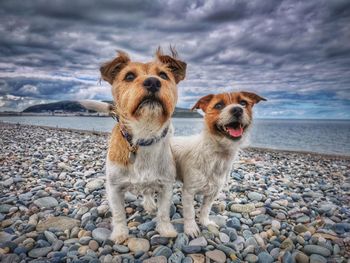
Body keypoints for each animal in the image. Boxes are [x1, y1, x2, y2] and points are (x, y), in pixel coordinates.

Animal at [98, 48, 186, 244]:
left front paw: (165, 230)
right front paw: (120, 234)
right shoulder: (114, 188)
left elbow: (163, 212)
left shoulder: (166, 185)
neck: (144, 135)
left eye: (163, 75)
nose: (153, 82)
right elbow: (118, 214)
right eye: (129, 76)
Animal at [170, 92, 266, 238]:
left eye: (243, 103)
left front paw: (205, 222)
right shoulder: (188, 192)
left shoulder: (213, 193)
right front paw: (191, 229)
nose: (237, 109)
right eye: (219, 105)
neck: (217, 155)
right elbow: (190, 212)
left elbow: (205, 209)